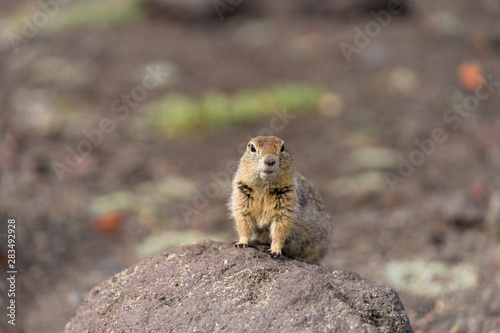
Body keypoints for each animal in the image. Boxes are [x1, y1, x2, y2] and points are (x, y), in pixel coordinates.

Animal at [229, 136, 332, 264]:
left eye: (283, 147)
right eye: (252, 147)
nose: (270, 161)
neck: (264, 186)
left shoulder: (286, 200)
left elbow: (281, 227)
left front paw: (274, 250)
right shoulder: (242, 196)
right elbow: (243, 222)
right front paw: (241, 243)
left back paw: (300, 258)